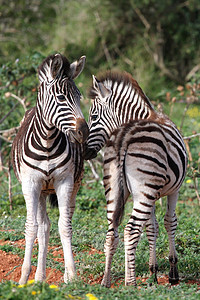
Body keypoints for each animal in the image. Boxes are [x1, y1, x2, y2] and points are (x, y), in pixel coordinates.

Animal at [11, 52, 88, 284]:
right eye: (61, 98)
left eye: (79, 97)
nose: (84, 132)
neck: (47, 141)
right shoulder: (30, 184)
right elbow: (31, 227)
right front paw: (23, 278)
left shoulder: (65, 181)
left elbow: (65, 226)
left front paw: (72, 275)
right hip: (41, 191)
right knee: (43, 227)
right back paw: (38, 278)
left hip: (72, 186)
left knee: (61, 220)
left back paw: (50, 276)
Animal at [85, 71, 188, 288]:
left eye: (94, 116)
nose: (85, 151)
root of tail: (124, 135)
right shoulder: (174, 190)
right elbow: (169, 222)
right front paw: (172, 272)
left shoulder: (150, 193)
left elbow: (151, 227)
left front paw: (153, 272)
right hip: (144, 191)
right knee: (130, 230)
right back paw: (130, 282)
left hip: (117, 190)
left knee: (112, 231)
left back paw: (106, 280)